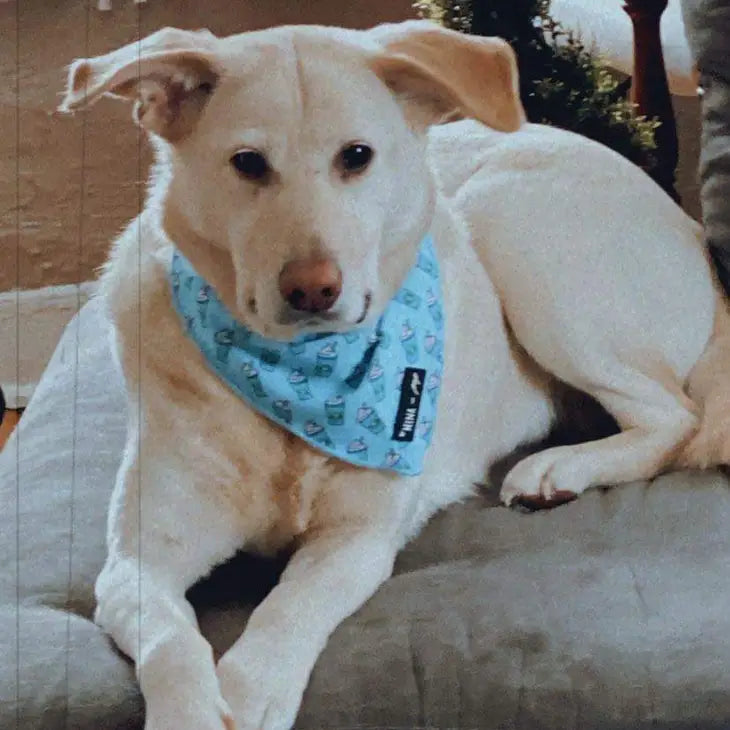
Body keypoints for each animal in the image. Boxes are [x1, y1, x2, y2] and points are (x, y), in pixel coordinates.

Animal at [58, 17, 728, 728]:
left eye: (356, 156)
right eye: (247, 163)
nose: (313, 289)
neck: (300, 377)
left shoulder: (358, 539)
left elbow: (288, 606)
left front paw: (250, 689)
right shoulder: (138, 560)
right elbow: (170, 643)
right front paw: (191, 710)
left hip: (512, 224)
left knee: (674, 419)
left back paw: (559, 468)